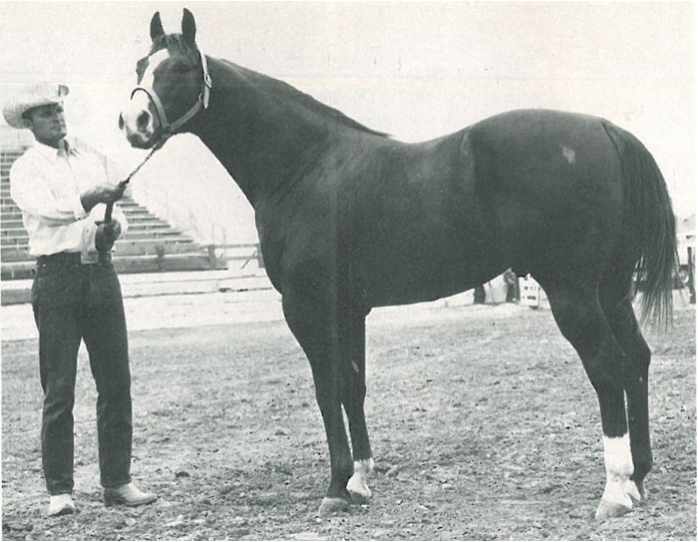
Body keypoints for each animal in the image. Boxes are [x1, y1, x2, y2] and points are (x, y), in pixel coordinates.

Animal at [119, 9, 677, 520]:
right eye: (141, 66)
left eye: (179, 69)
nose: (133, 123)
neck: (305, 166)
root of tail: (603, 129)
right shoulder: (350, 308)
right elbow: (353, 386)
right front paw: (361, 481)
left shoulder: (307, 307)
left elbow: (326, 389)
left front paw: (335, 487)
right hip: (610, 290)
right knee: (637, 360)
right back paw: (638, 478)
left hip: (572, 292)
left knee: (607, 364)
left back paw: (614, 490)